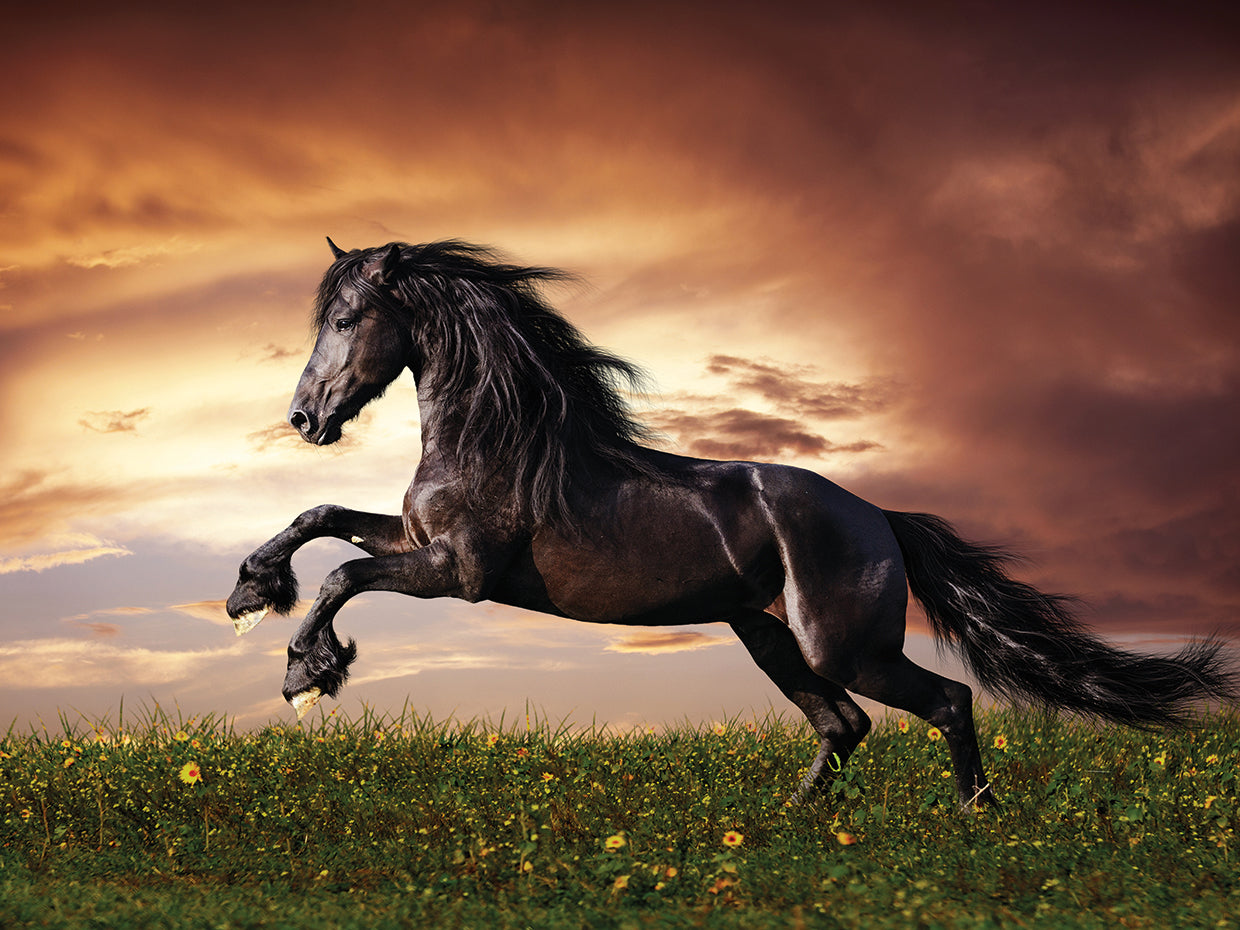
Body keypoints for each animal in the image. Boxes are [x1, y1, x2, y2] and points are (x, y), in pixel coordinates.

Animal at [227, 238, 1237, 809]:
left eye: (349, 318)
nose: (305, 419)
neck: (498, 440)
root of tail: (881, 518)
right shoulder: (419, 544)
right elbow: (322, 518)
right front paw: (249, 591)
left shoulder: (461, 573)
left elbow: (342, 575)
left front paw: (306, 671)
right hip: (766, 634)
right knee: (843, 726)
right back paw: (788, 828)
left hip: (842, 643)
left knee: (941, 702)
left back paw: (974, 820)